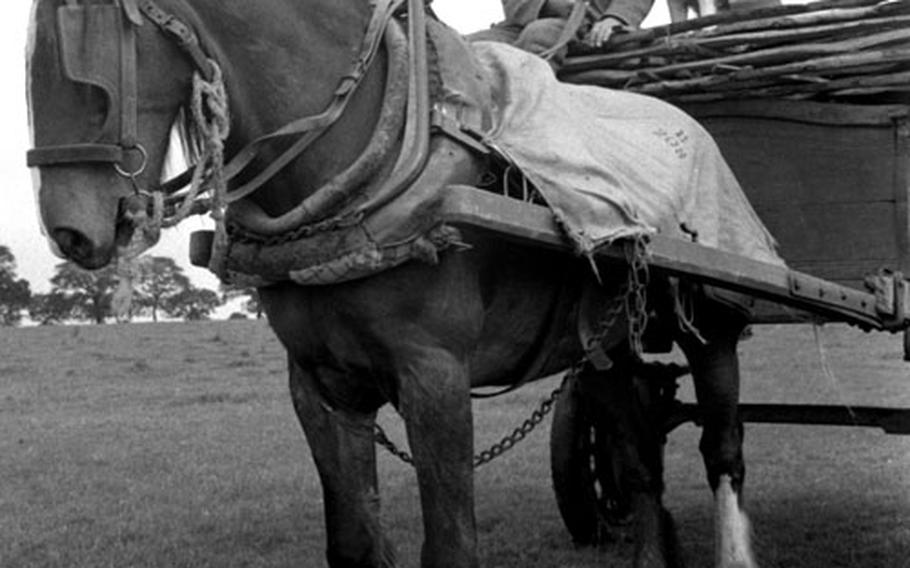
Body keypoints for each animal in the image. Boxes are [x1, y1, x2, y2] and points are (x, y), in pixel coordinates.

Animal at [25, 1, 760, 568]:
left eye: (85, 69)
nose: (69, 234)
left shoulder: (435, 375)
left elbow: (451, 546)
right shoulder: (319, 383)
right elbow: (353, 543)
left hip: (714, 324)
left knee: (721, 450)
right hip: (606, 345)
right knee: (639, 465)